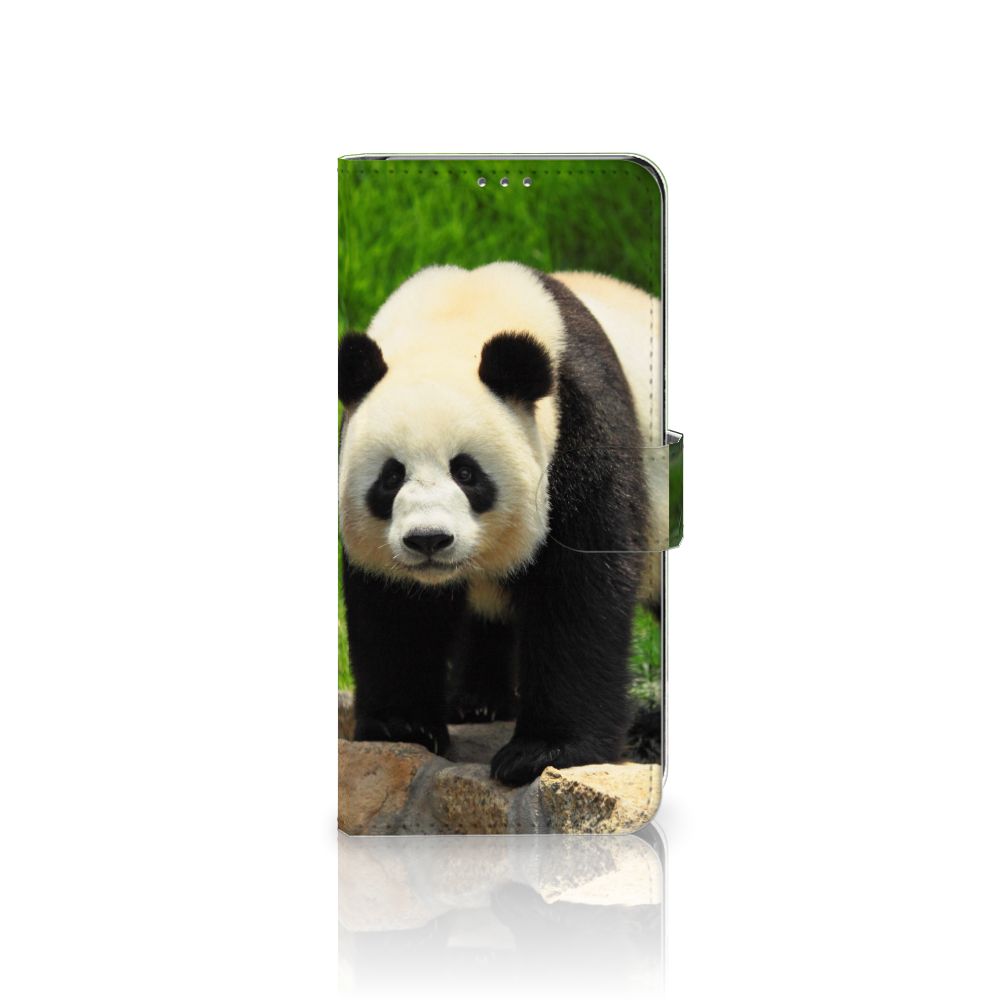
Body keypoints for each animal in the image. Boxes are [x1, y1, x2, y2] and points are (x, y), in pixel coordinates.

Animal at [339, 262, 665, 787]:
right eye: (391, 477)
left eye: (467, 472)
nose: (428, 540)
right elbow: (395, 606)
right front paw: (401, 726)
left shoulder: (581, 423)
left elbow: (580, 588)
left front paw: (544, 751)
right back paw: (477, 702)